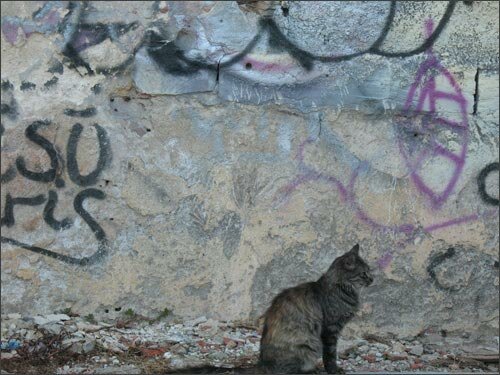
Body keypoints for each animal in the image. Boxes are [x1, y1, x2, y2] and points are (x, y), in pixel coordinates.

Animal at [260, 245, 374, 374]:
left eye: (369, 270)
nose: (372, 279)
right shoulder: (331, 329)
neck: (341, 288)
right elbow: (330, 354)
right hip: (306, 343)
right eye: (364, 273)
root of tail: (262, 364)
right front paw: (333, 370)